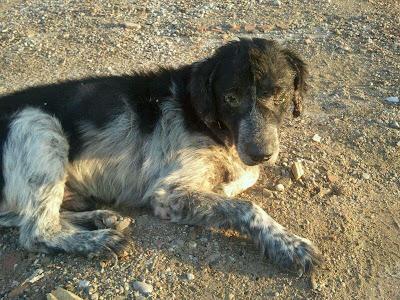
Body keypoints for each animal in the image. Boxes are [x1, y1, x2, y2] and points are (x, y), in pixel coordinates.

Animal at [0, 38, 320, 276]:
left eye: (279, 95)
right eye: (230, 98)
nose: (260, 154)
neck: (201, 115)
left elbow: (238, 183)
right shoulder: (169, 194)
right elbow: (246, 207)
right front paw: (289, 245)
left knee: (26, 217)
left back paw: (100, 217)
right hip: (39, 125)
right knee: (36, 230)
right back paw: (97, 241)